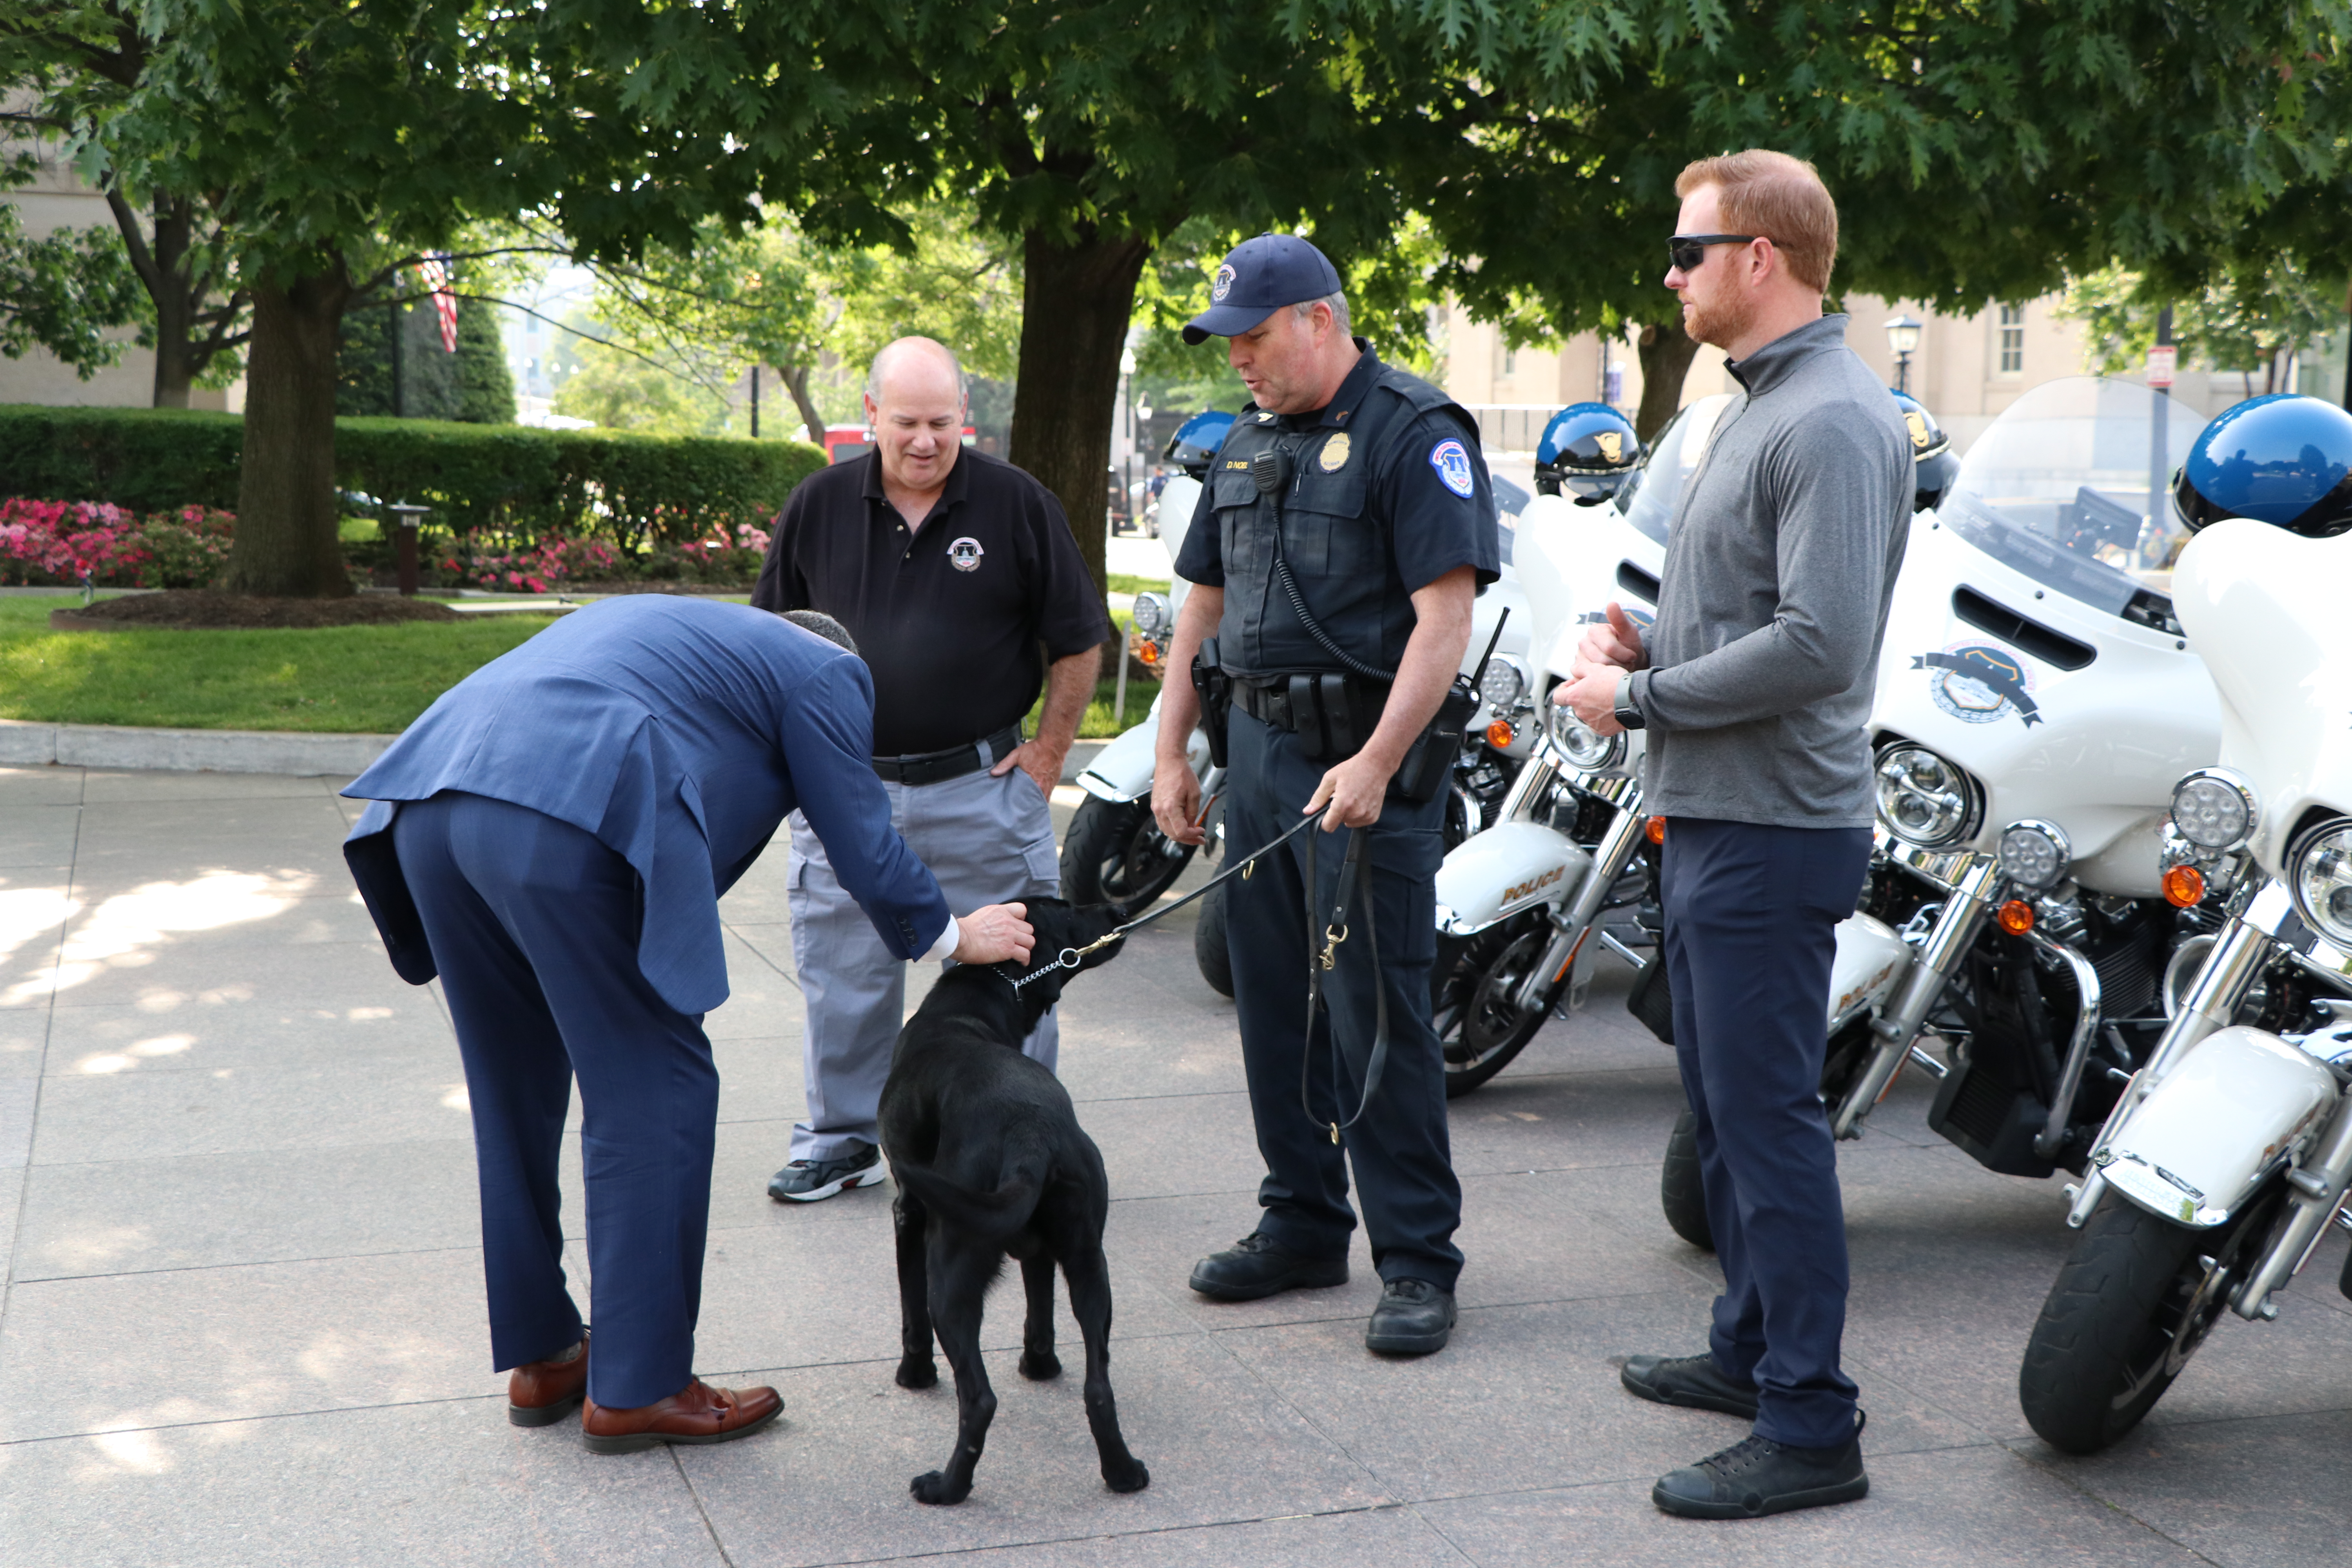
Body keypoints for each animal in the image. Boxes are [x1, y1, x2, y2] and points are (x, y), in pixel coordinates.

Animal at [875, 893, 1148, 1504]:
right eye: (1069, 909)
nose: (1120, 907)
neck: (967, 1010)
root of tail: (1032, 1134)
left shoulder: (909, 1212)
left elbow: (908, 1312)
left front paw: (914, 1375)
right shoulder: (1041, 1248)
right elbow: (1039, 1308)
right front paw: (1040, 1365)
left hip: (952, 1264)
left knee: (978, 1399)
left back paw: (946, 1487)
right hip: (1090, 1261)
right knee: (1099, 1389)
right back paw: (1122, 1473)